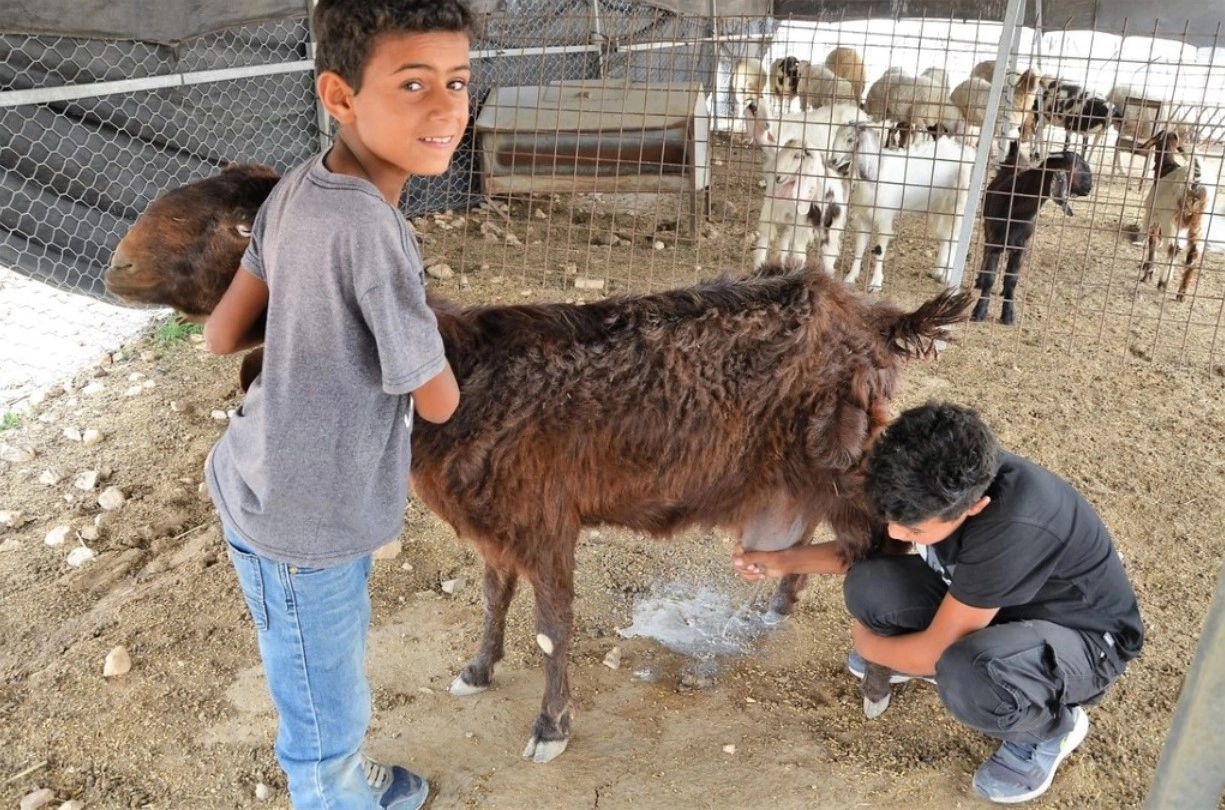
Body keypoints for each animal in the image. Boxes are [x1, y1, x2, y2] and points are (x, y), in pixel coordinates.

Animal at [103, 164, 974, 765]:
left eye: (235, 230)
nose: (116, 266)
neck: (461, 374)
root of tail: (874, 318)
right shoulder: (495, 521)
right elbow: (494, 595)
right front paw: (478, 668)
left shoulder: (546, 516)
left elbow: (553, 629)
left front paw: (550, 727)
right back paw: (774, 609)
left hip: (850, 463)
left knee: (880, 552)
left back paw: (875, 685)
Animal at [826, 121, 976, 293]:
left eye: (850, 139)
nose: (833, 160)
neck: (878, 173)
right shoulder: (864, 217)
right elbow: (860, 247)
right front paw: (851, 277)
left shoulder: (885, 218)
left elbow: (879, 251)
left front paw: (875, 283)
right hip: (939, 206)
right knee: (945, 235)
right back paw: (938, 271)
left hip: (957, 206)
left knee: (955, 237)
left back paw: (947, 276)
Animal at [971, 142, 1095, 325]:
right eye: (1076, 165)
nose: (1089, 187)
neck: (1018, 209)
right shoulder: (995, 240)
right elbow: (989, 278)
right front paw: (979, 311)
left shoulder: (1023, 246)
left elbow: (1012, 280)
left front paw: (1008, 314)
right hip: (988, 229)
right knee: (985, 253)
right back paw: (979, 281)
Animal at [1137, 130, 1217, 302]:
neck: (1165, 168)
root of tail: (1196, 184)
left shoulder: (1153, 215)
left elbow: (1153, 241)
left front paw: (1148, 272)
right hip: (1200, 223)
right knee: (1193, 253)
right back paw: (1182, 293)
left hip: (1171, 218)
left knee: (1174, 248)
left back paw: (1163, 283)